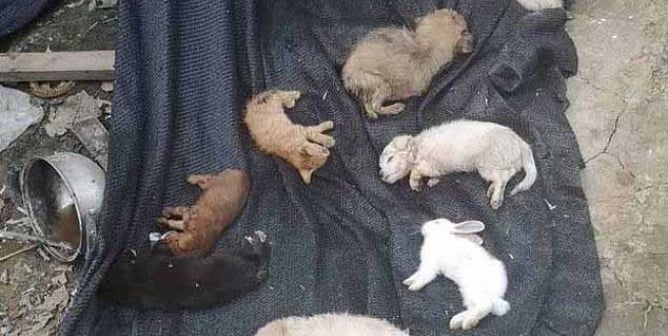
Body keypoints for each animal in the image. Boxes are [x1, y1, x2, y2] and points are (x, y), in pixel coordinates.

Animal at [96, 231, 268, 310]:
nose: (125, 249)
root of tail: (254, 275)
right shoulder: (159, 255)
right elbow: (161, 244)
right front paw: (160, 235)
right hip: (228, 257)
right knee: (255, 254)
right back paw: (255, 239)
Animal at [342, 8, 472, 119]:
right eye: (453, 16)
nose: (458, 13)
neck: (426, 47)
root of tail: (347, 79)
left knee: (368, 105)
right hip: (381, 84)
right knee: (375, 106)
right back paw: (395, 108)